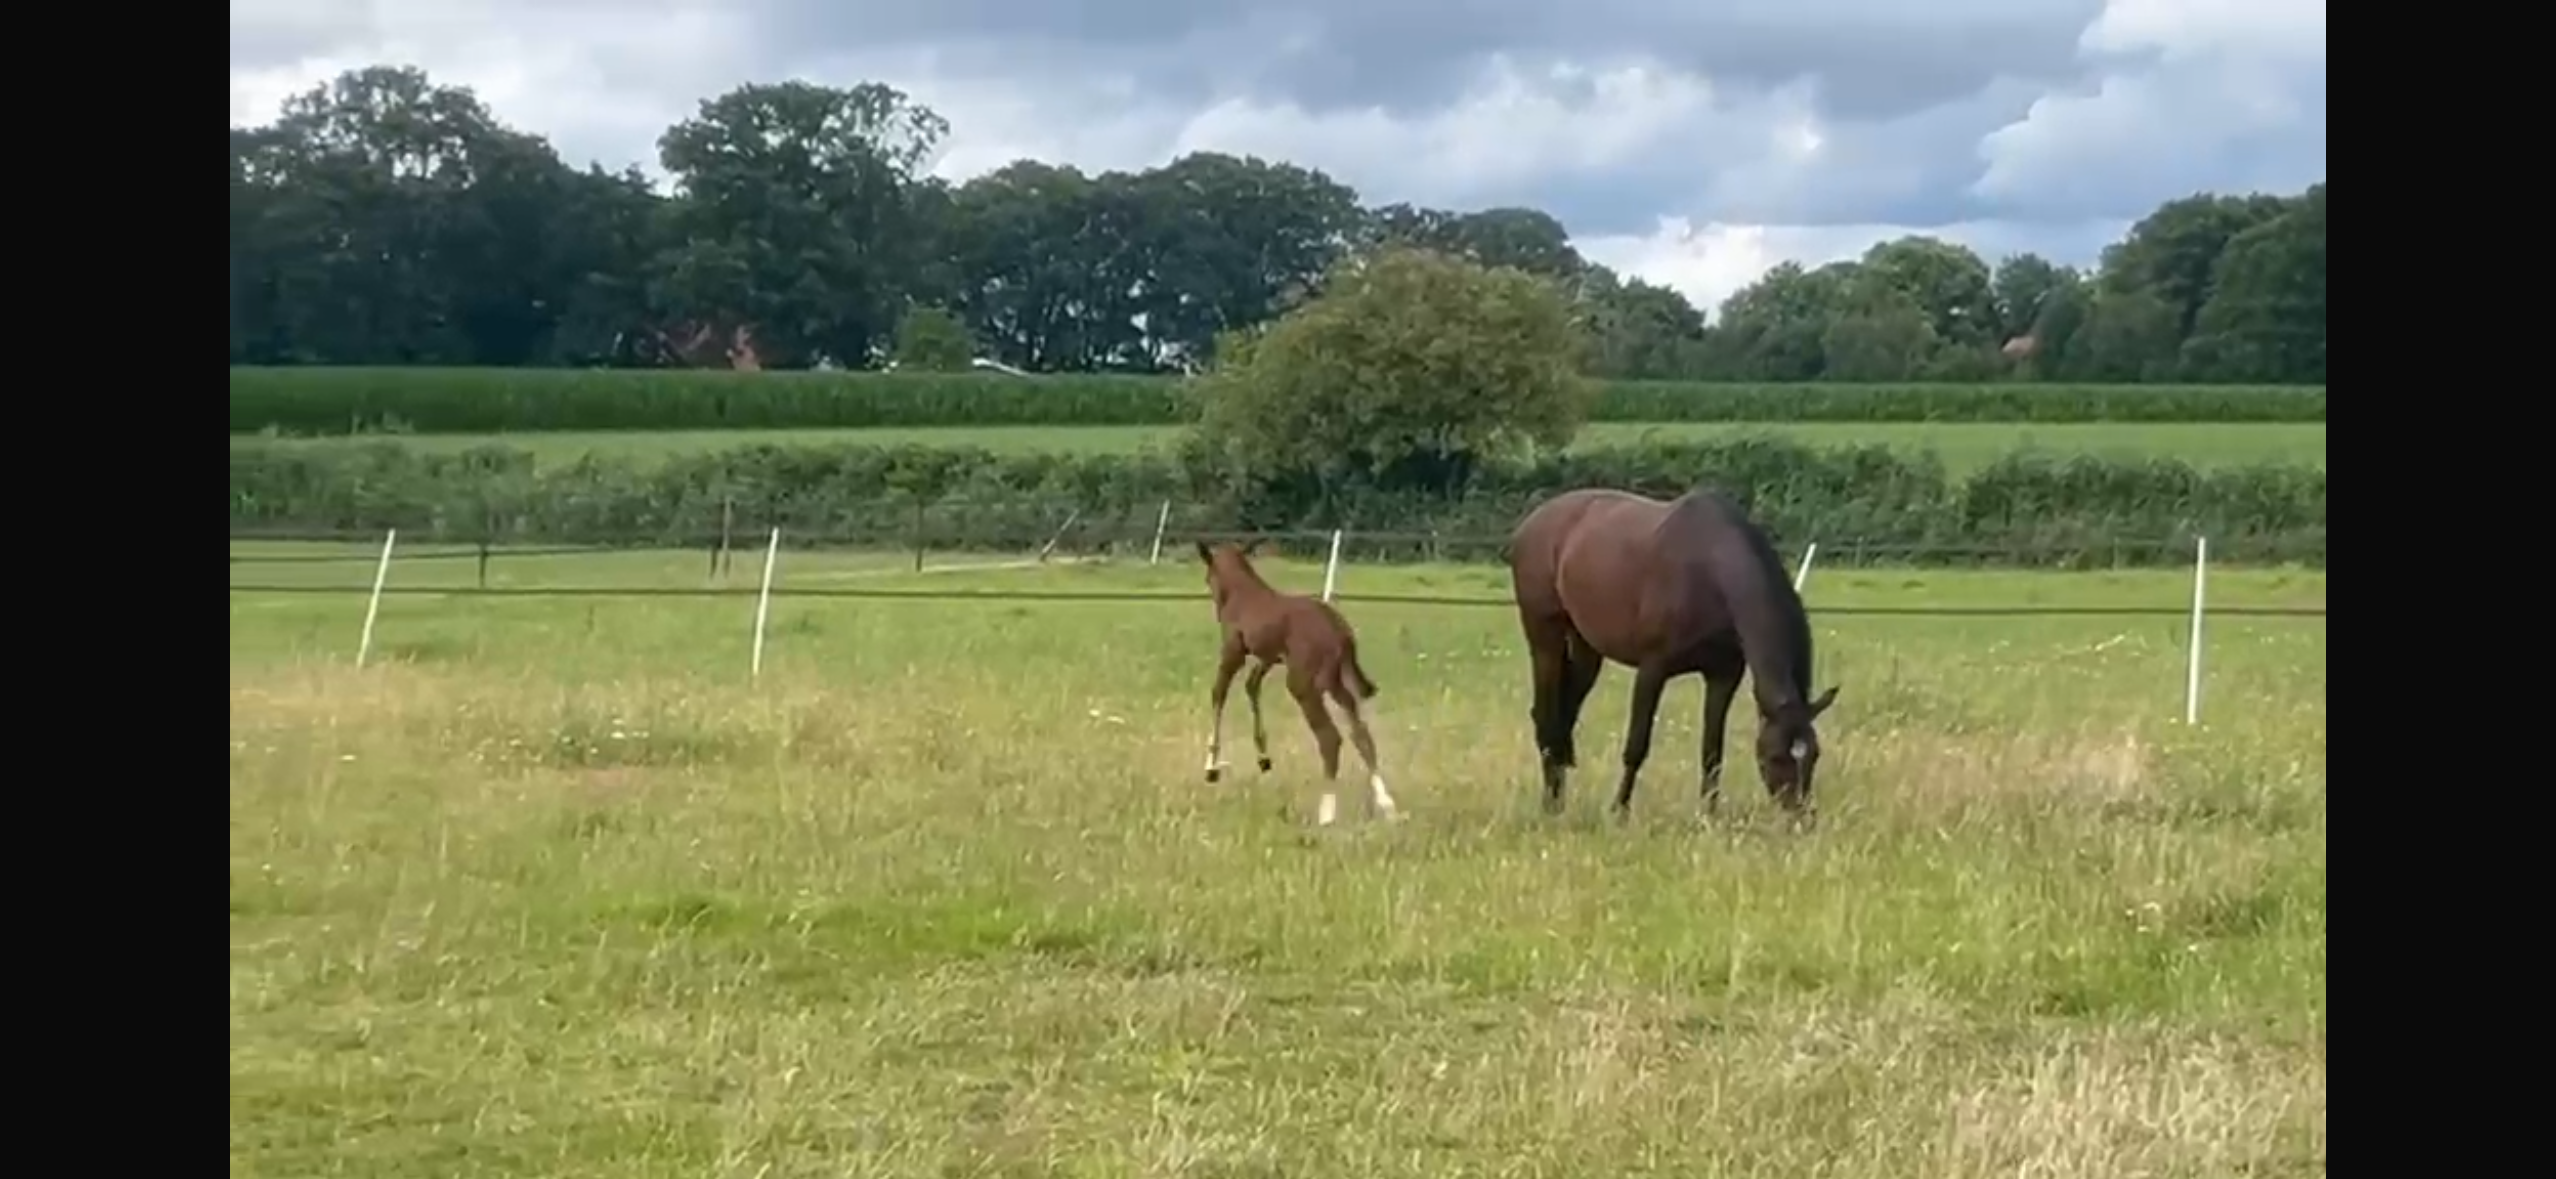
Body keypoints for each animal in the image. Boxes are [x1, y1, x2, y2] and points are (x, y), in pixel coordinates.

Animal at [1194, 539, 1402, 826]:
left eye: (1208, 575)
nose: (1212, 597)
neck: (1242, 592)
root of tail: (1342, 632)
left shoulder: (1233, 651)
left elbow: (1218, 693)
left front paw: (1211, 768)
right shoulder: (1270, 657)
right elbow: (1252, 686)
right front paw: (1263, 759)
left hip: (1303, 684)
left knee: (1330, 739)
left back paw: (1327, 814)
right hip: (1333, 682)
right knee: (1361, 734)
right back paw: (1387, 805)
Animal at [1505, 488, 1839, 824]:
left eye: (1815, 754)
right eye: (1775, 756)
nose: (1802, 818)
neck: (1707, 574)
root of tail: (1531, 524)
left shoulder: (1723, 675)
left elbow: (1712, 752)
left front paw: (1708, 815)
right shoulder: (1652, 669)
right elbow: (1637, 745)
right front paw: (1619, 812)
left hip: (1586, 649)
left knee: (1565, 717)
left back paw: (1559, 800)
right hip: (1545, 639)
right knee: (1546, 716)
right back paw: (1550, 805)